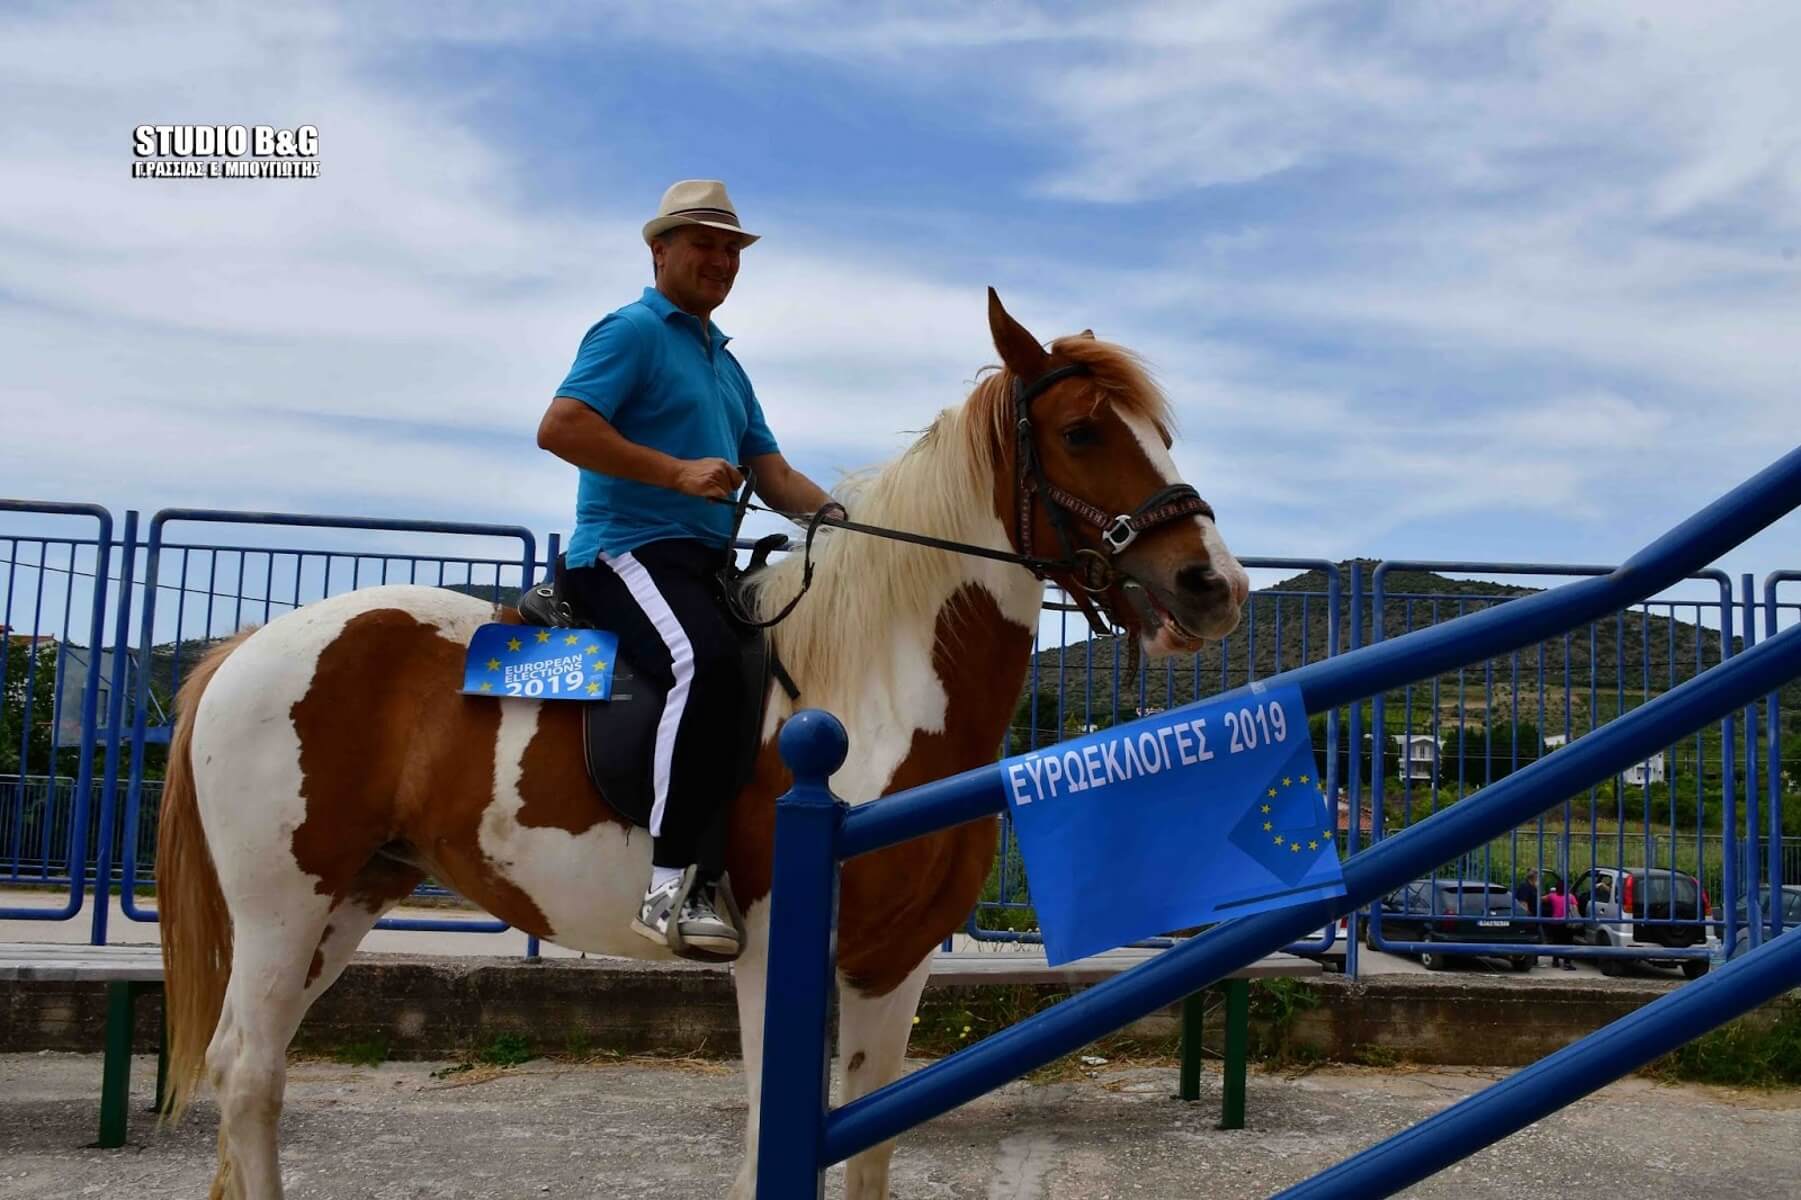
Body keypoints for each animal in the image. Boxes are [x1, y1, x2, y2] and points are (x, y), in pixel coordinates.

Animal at [162, 291, 1246, 1196]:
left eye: (1161, 433)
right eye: (1079, 432)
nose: (1213, 585)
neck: (878, 690)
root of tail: (244, 648)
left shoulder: (894, 965)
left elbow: (866, 1147)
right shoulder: (771, 953)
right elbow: (774, 1139)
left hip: (348, 897)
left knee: (254, 1062)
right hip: (282, 904)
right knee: (248, 1072)